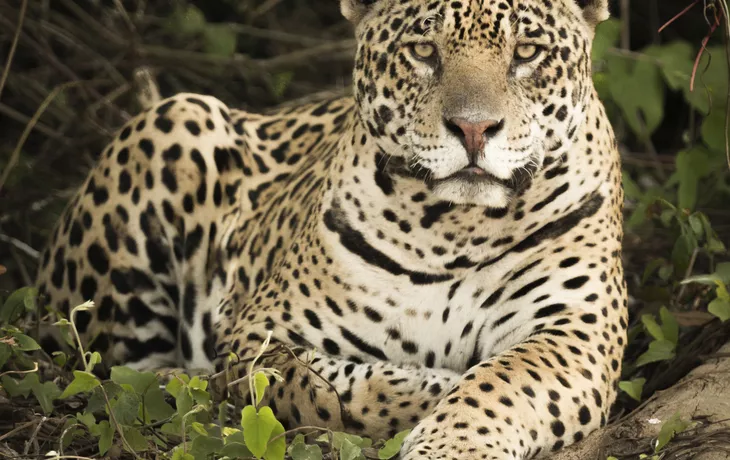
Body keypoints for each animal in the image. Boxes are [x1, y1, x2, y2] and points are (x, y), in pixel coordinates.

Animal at [35, 0, 628, 458]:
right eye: (423, 51)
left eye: (526, 52)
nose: (474, 129)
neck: (456, 226)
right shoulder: (261, 332)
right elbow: (327, 392)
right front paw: (435, 384)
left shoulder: (575, 330)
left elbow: (502, 382)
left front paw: (451, 443)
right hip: (177, 121)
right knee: (94, 364)